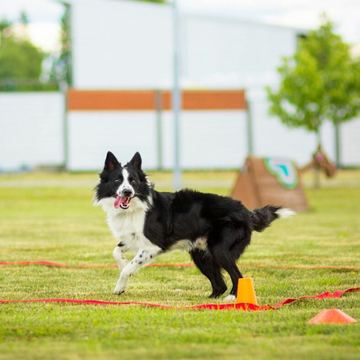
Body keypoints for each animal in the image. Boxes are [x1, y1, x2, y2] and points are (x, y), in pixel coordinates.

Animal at [95, 150, 292, 300]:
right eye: (117, 181)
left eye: (133, 181)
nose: (127, 192)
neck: (135, 207)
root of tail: (247, 212)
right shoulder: (131, 238)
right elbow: (116, 253)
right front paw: (123, 265)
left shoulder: (152, 245)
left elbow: (129, 267)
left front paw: (120, 286)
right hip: (201, 254)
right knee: (220, 284)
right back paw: (211, 299)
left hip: (219, 250)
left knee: (238, 276)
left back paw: (232, 298)